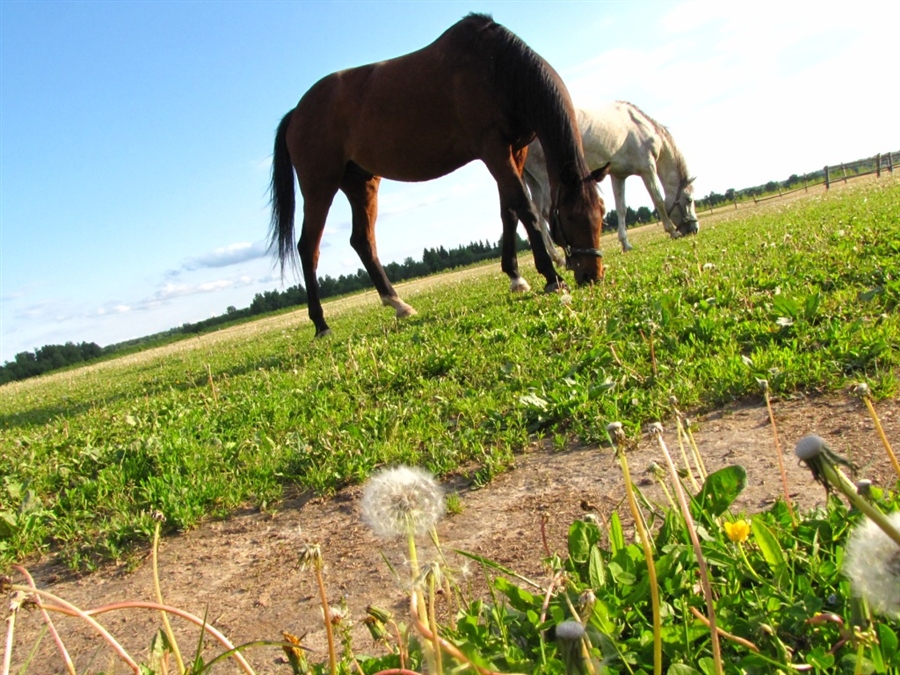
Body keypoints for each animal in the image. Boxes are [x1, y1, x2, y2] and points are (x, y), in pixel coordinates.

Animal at [268, 11, 604, 336]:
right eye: (569, 217)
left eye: (601, 213)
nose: (592, 275)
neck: (496, 67)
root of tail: (296, 113)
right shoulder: (493, 149)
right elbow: (525, 208)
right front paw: (551, 276)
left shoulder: (515, 150)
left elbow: (508, 211)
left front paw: (516, 277)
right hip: (319, 186)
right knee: (308, 248)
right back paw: (321, 324)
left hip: (360, 183)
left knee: (363, 241)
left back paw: (398, 304)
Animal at [524, 101, 700, 256]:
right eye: (689, 199)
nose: (695, 229)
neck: (640, 126)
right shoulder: (648, 169)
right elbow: (658, 201)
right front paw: (672, 232)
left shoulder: (618, 175)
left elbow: (621, 208)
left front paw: (625, 244)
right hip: (545, 177)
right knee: (547, 212)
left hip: (533, 181)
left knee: (537, 215)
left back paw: (555, 258)